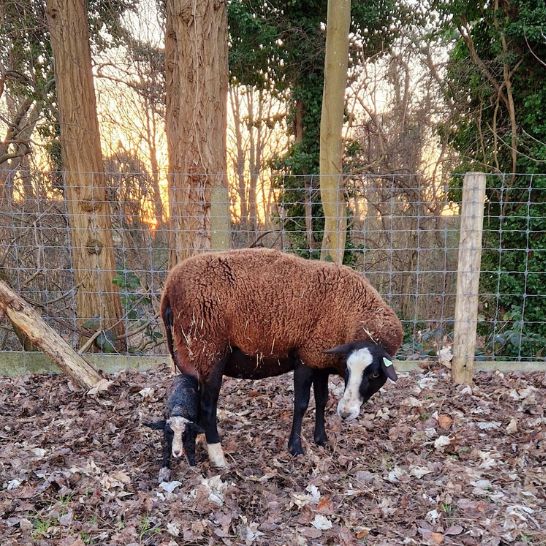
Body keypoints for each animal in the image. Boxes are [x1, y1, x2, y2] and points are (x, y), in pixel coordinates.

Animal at [159, 246, 402, 464]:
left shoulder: (319, 359)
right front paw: (295, 448)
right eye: (349, 369)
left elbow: (322, 400)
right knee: (208, 407)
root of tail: (168, 288)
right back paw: (218, 456)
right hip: (208, 352)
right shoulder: (305, 358)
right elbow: (301, 404)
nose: (345, 413)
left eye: (374, 375)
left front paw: (321, 439)